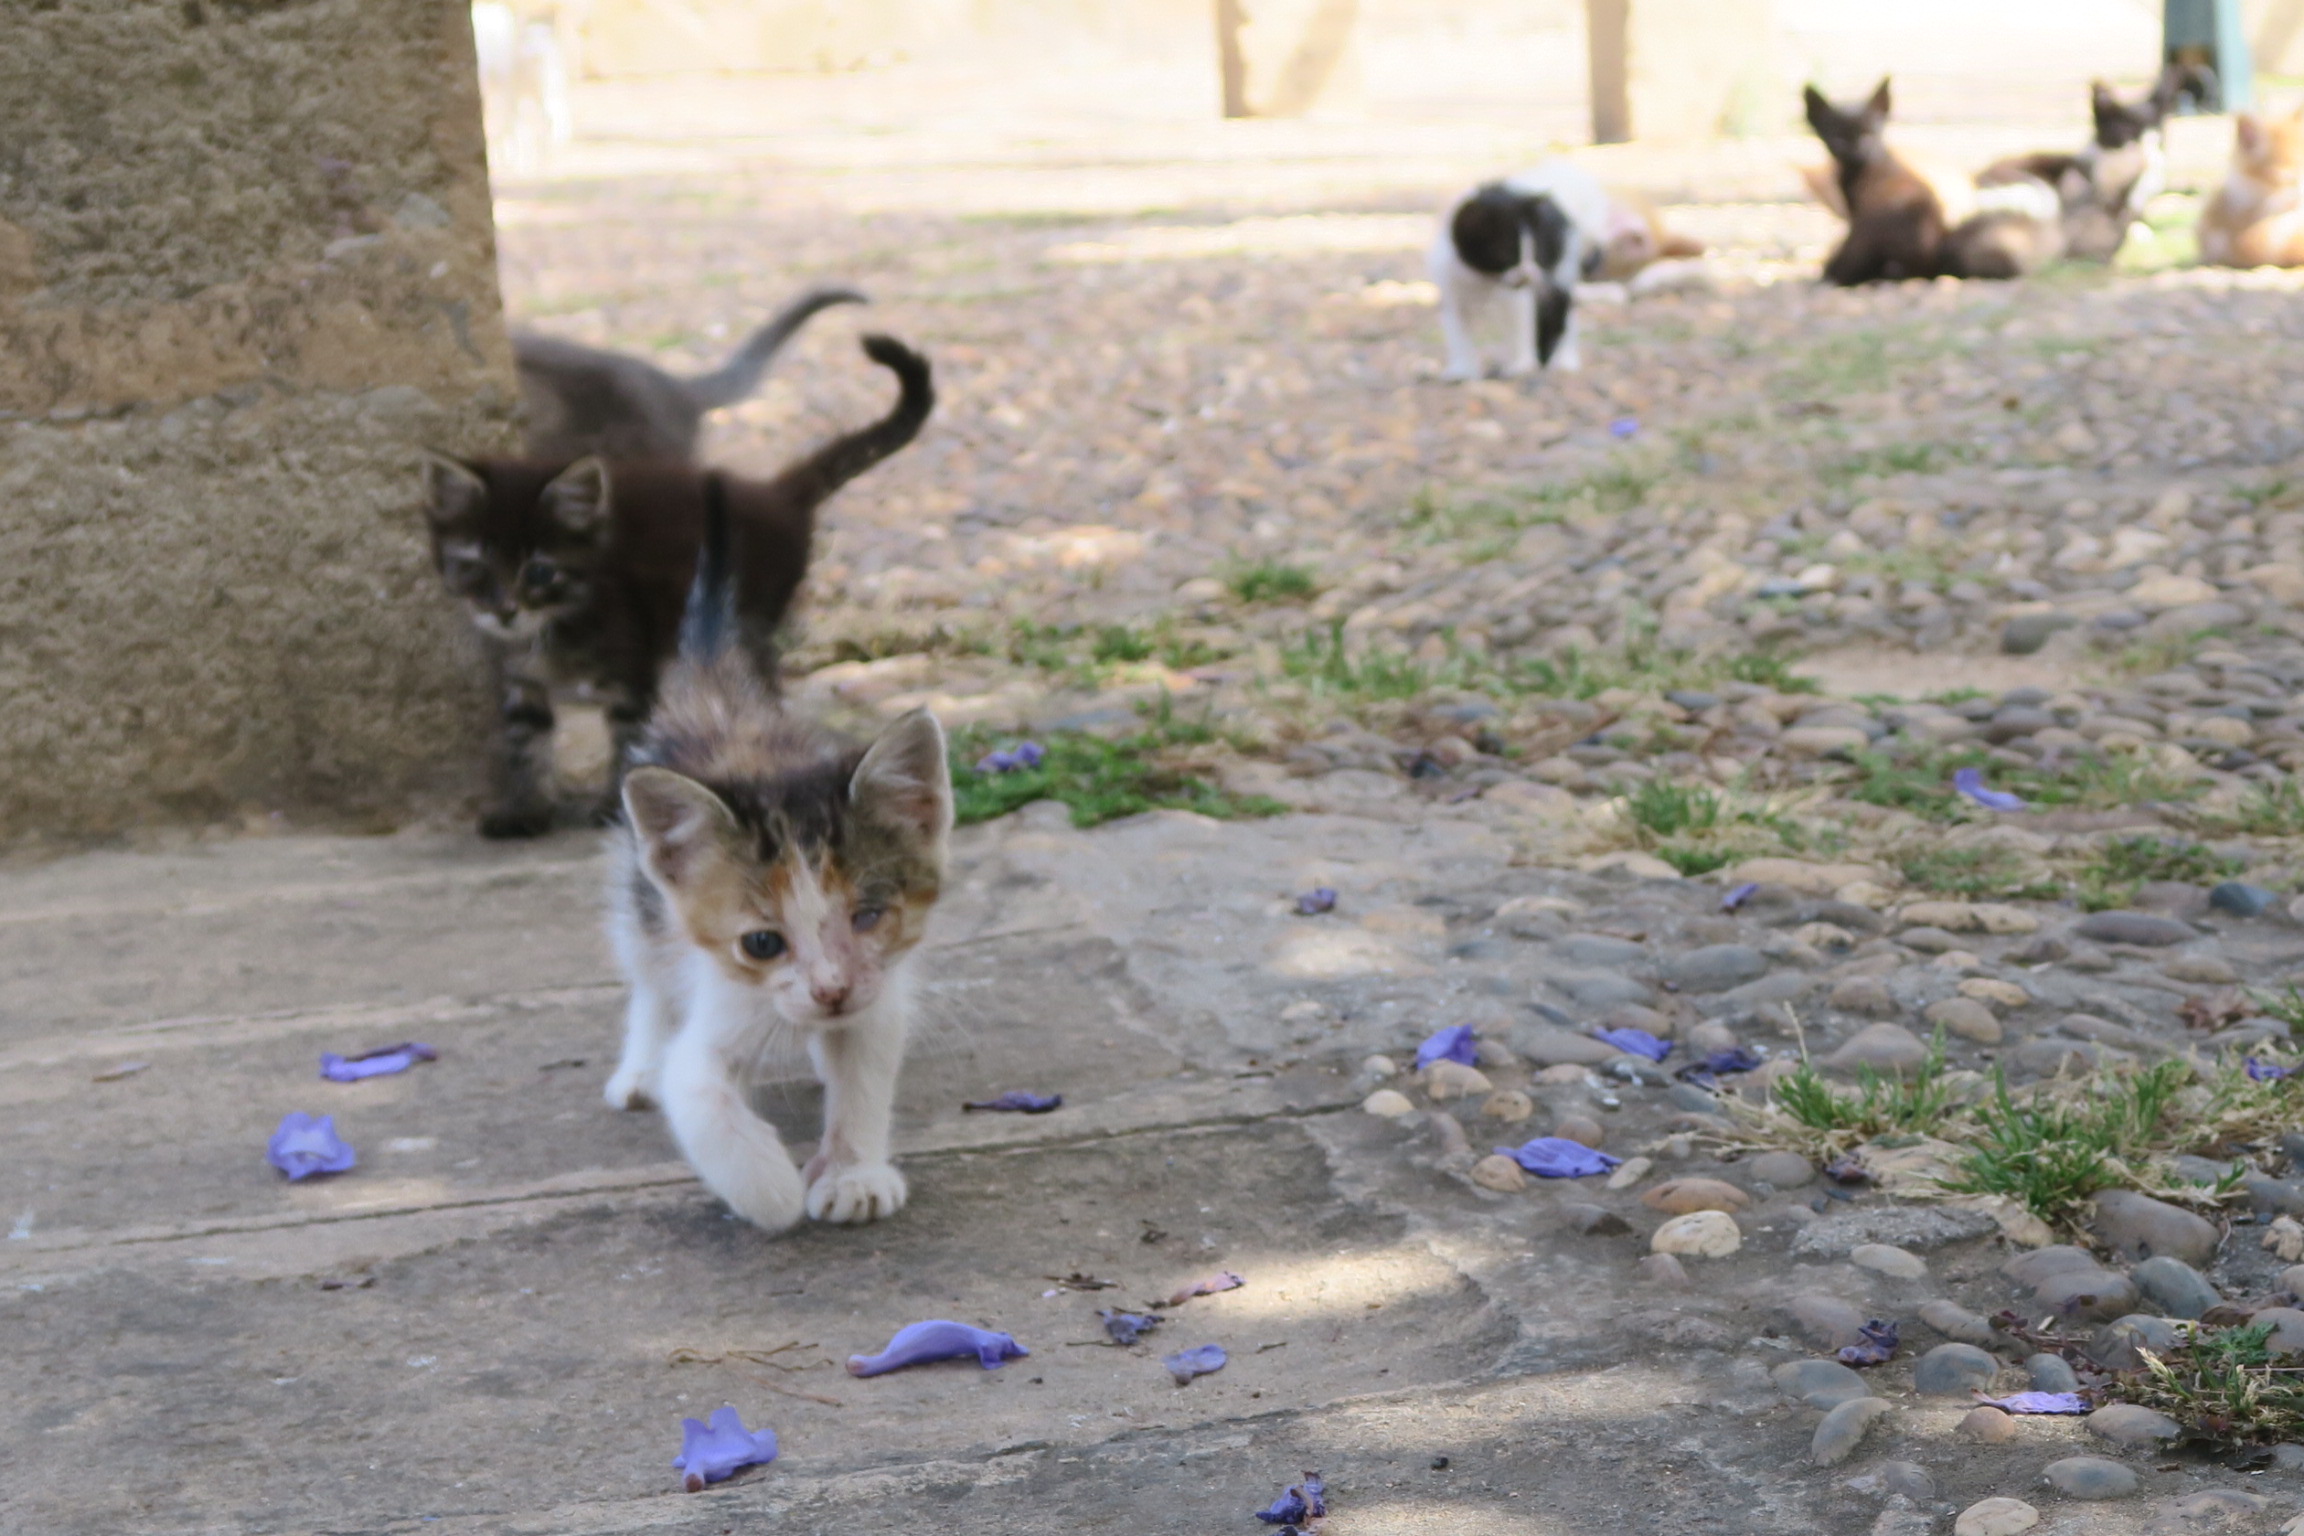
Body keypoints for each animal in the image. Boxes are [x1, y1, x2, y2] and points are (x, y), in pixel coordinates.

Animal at [422, 333, 933, 838]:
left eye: (539, 572)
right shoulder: (519, 683)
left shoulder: (633, 673)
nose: (504, 609)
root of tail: (772, 495)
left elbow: (628, 743)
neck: (555, 622)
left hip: (746, 628)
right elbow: (524, 743)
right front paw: (524, 808)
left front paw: (613, 808)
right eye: (475, 567)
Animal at [605, 474, 953, 1231]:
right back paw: (639, 1067)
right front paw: (766, 1188)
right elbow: (697, 1091)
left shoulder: (880, 998)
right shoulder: (716, 1002)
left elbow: (865, 1076)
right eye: (762, 943)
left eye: (869, 915)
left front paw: (854, 1173)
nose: (831, 991)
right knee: (648, 978)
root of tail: (718, 700)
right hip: (637, 898)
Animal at [1430, 159, 1698, 381]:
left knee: (1564, 317)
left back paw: (1561, 362)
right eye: (1505, 253)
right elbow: (1458, 335)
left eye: (1536, 251)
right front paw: (1462, 371)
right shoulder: (1453, 293)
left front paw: (1520, 365)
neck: (1481, 278)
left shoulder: (1518, 296)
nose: (1528, 274)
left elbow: (1519, 328)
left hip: (1563, 271)